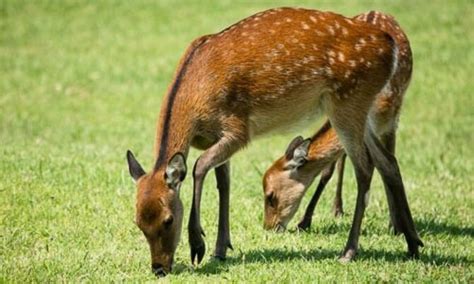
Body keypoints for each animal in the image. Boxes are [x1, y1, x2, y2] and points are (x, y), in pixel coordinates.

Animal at [262, 11, 414, 233]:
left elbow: (387, 166)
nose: (268, 227)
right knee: (340, 162)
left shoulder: (392, 122)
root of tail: (377, 11)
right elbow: (328, 170)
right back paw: (337, 208)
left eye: (271, 196)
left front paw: (395, 225)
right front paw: (304, 221)